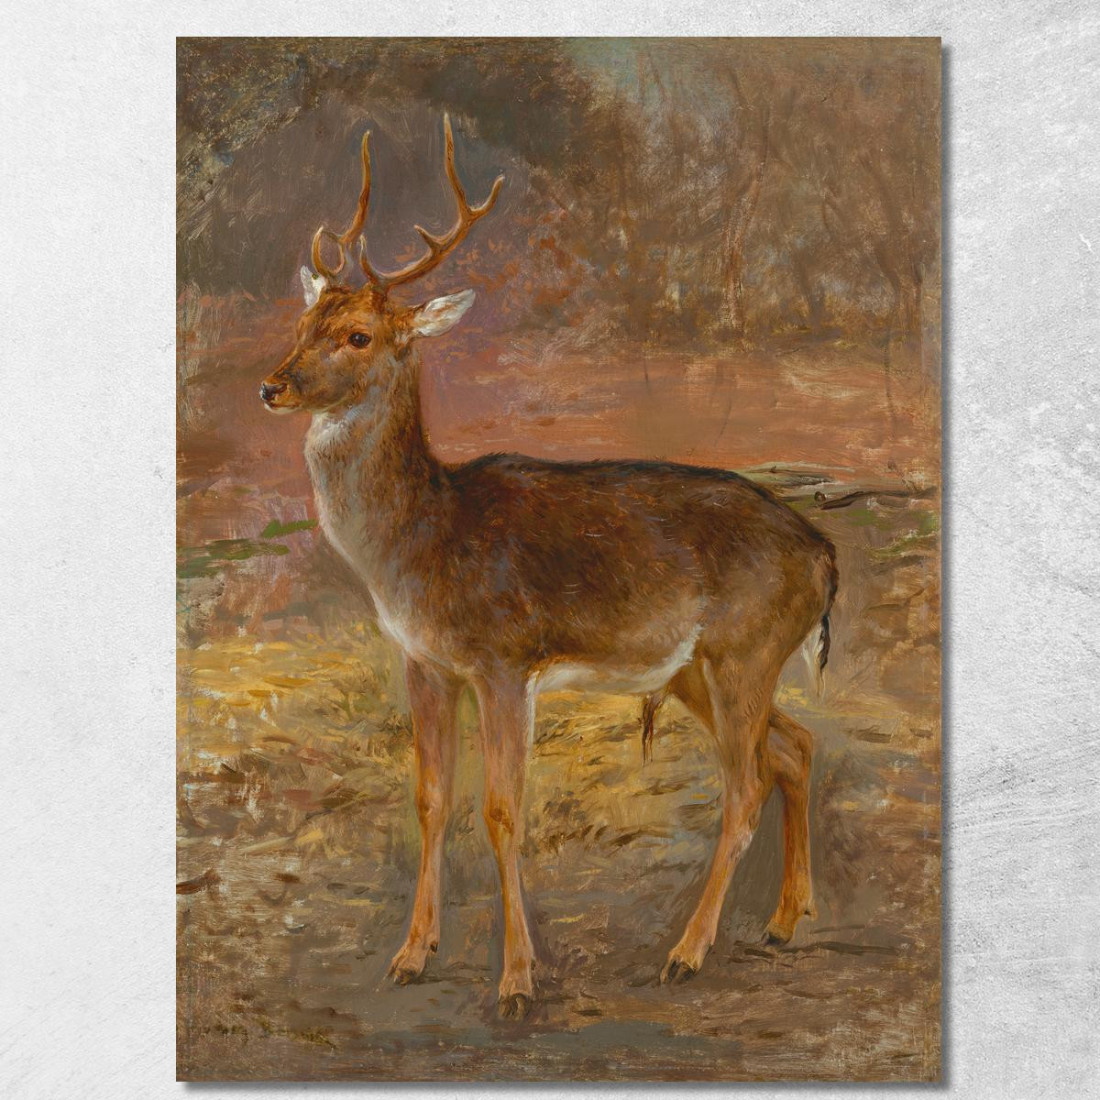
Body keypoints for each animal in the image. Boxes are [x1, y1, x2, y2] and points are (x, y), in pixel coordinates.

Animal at [260, 115, 838, 1019]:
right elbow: (430, 799)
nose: (272, 386)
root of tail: (825, 555)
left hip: (746, 648)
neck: (424, 541)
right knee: (797, 747)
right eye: (302, 324)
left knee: (745, 786)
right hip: (700, 668)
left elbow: (502, 809)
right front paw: (411, 955)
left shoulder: (505, 658)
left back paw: (687, 952)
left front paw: (517, 980)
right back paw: (784, 920)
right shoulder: (423, 661)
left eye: (358, 336)